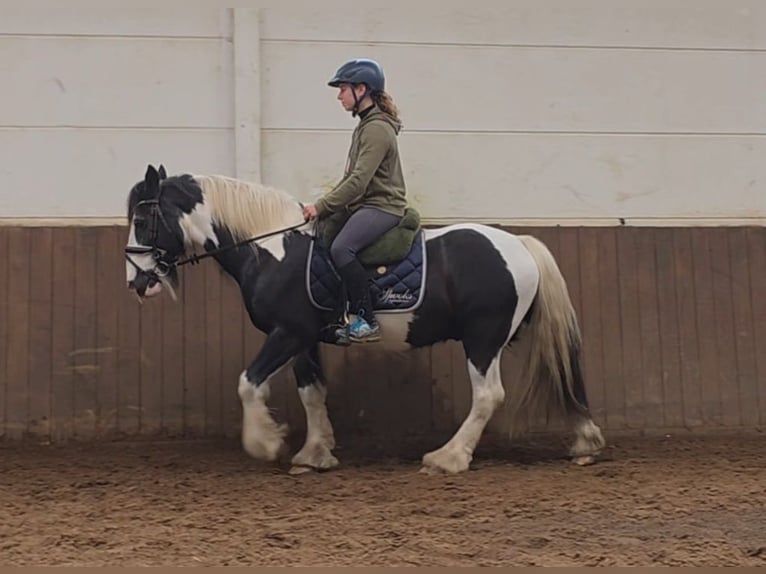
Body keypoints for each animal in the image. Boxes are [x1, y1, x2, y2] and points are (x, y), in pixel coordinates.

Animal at [124, 164, 605, 474]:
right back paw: (584, 441)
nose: (136, 282)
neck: (273, 249)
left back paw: (447, 458)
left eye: (144, 218)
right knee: (563, 377)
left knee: (489, 396)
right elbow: (313, 393)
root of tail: (518, 243)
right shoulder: (305, 339)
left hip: (483, 339)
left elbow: (248, 382)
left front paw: (265, 443)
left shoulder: (287, 333)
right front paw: (314, 454)